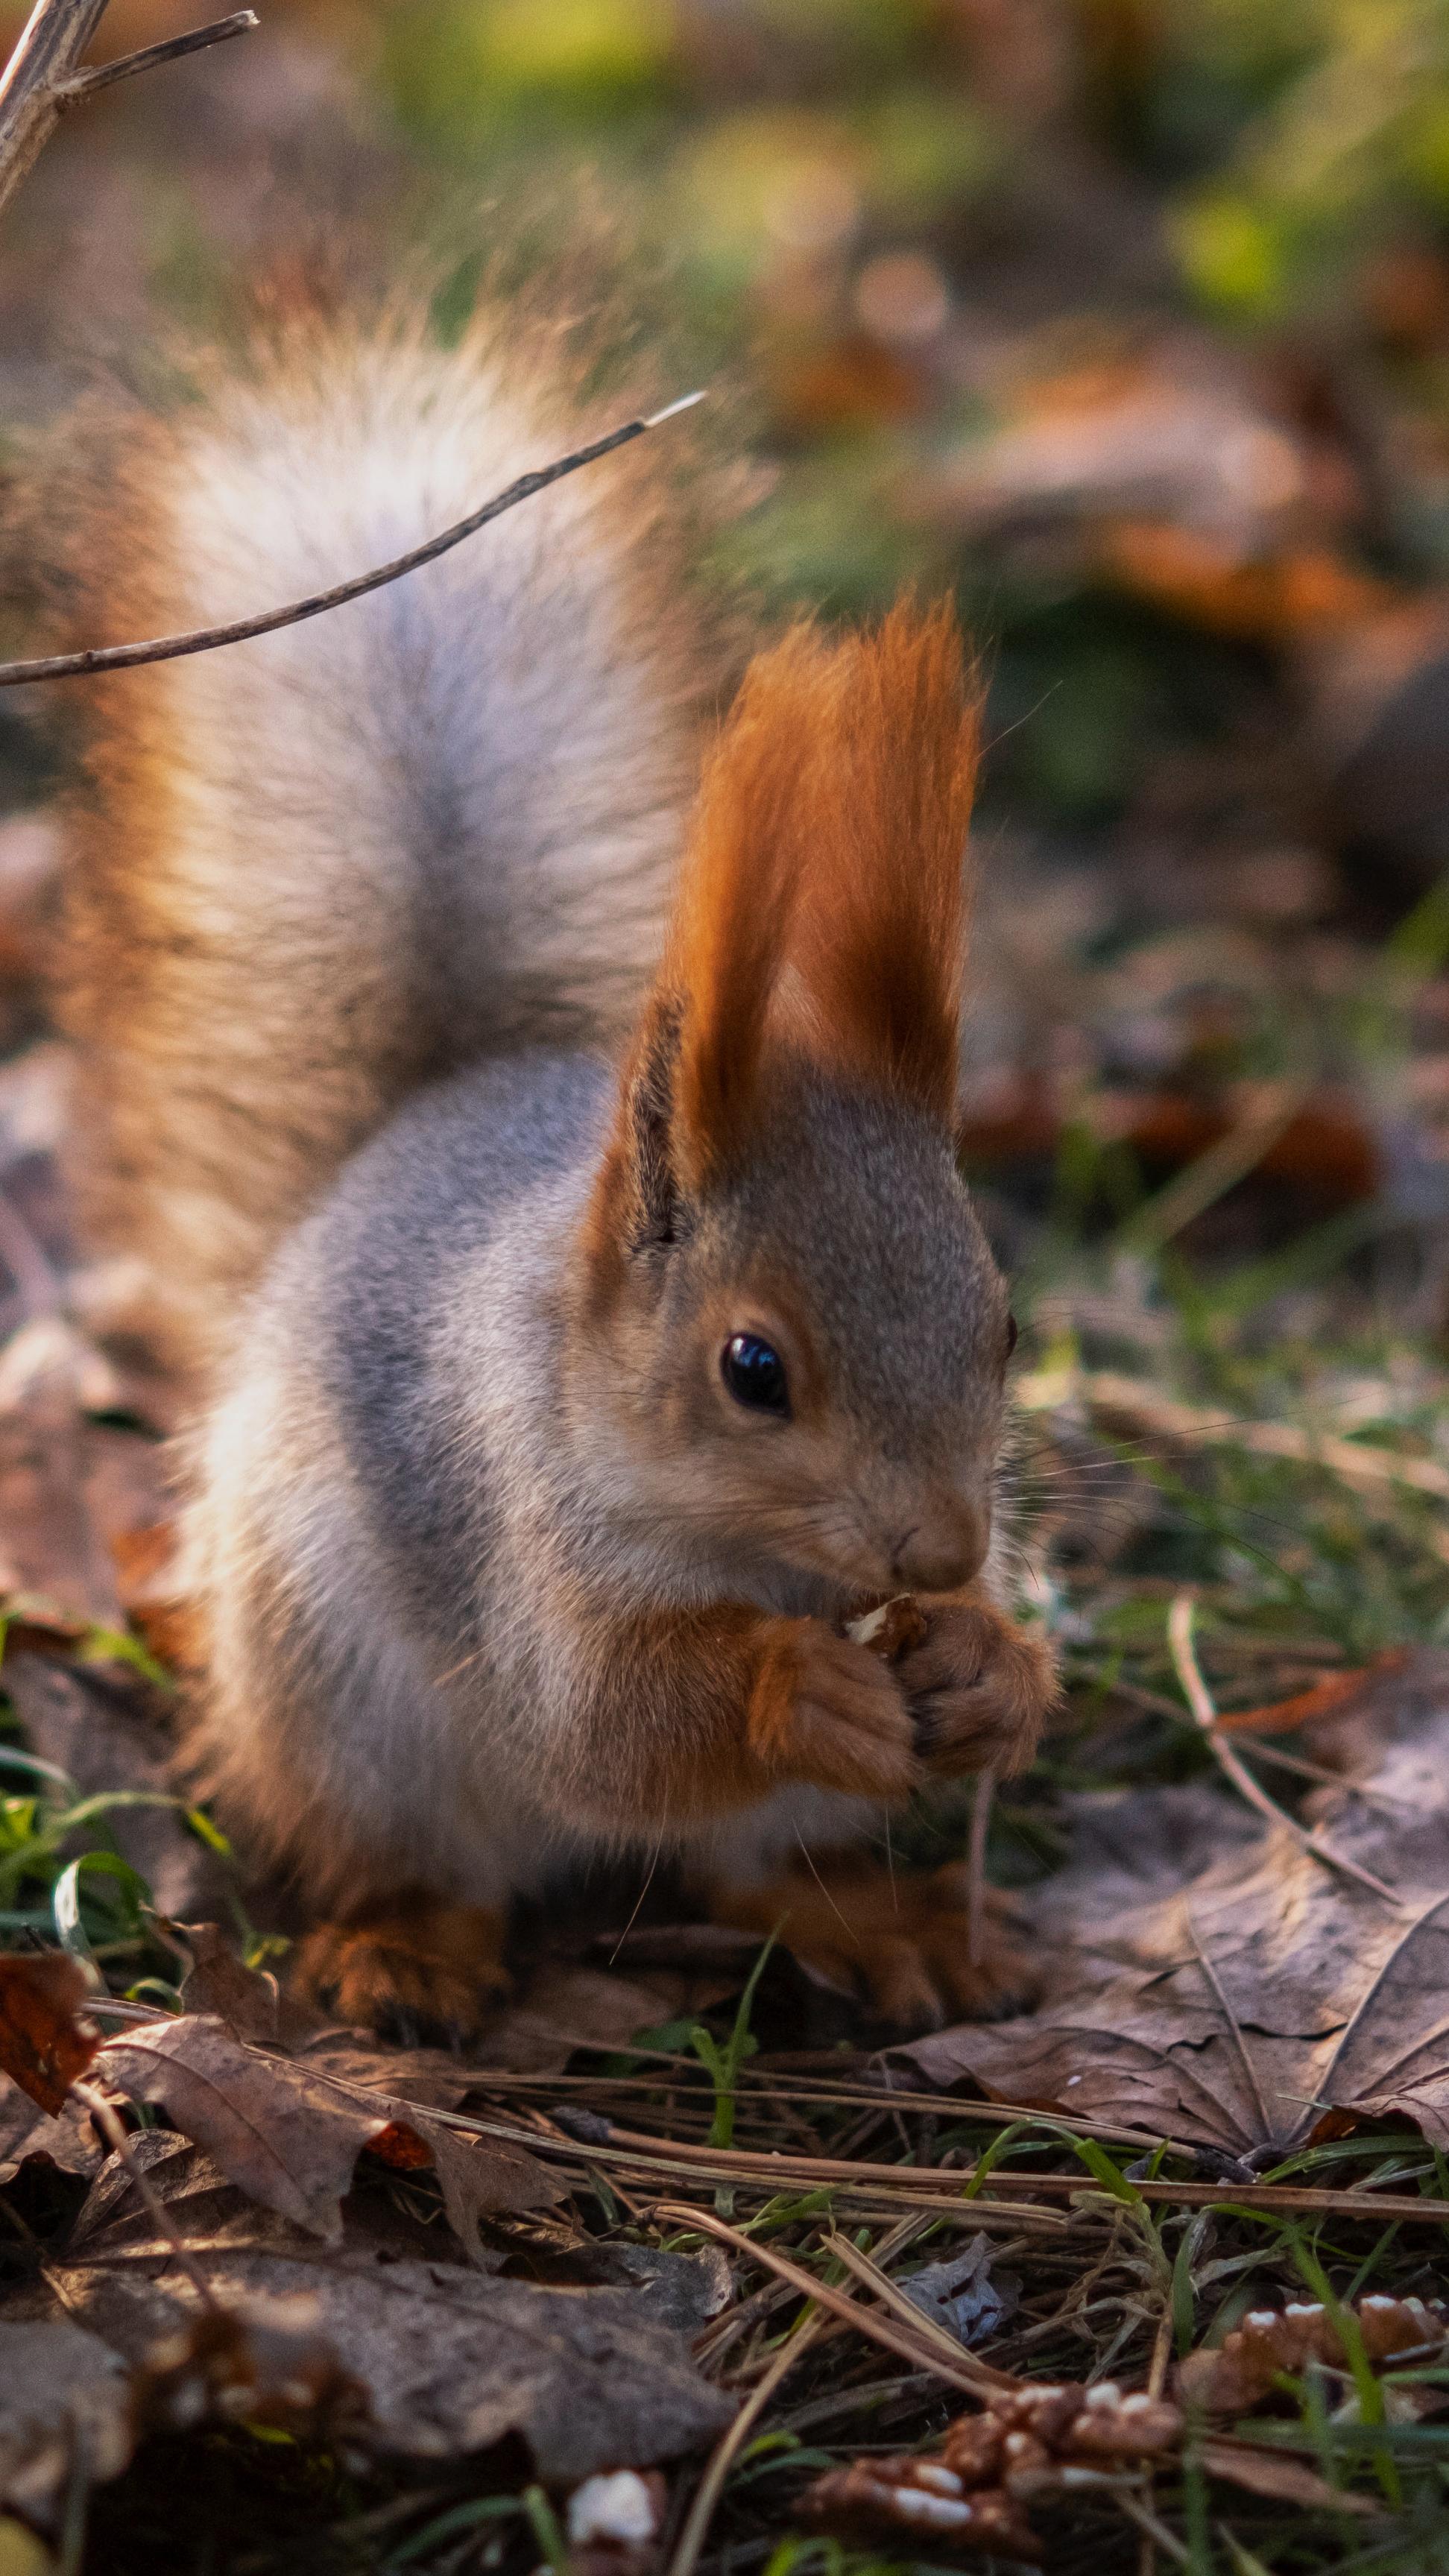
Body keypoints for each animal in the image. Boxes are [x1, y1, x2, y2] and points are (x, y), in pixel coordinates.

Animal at [51, 296, 1057, 2030]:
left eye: (1004, 1325)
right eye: (750, 1369)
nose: (941, 1550)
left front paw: (983, 1661)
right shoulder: (512, 1523)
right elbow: (598, 1722)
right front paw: (797, 1686)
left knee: (748, 1869)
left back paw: (881, 1921)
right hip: (336, 1698)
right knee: (431, 1856)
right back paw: (405, 1950)